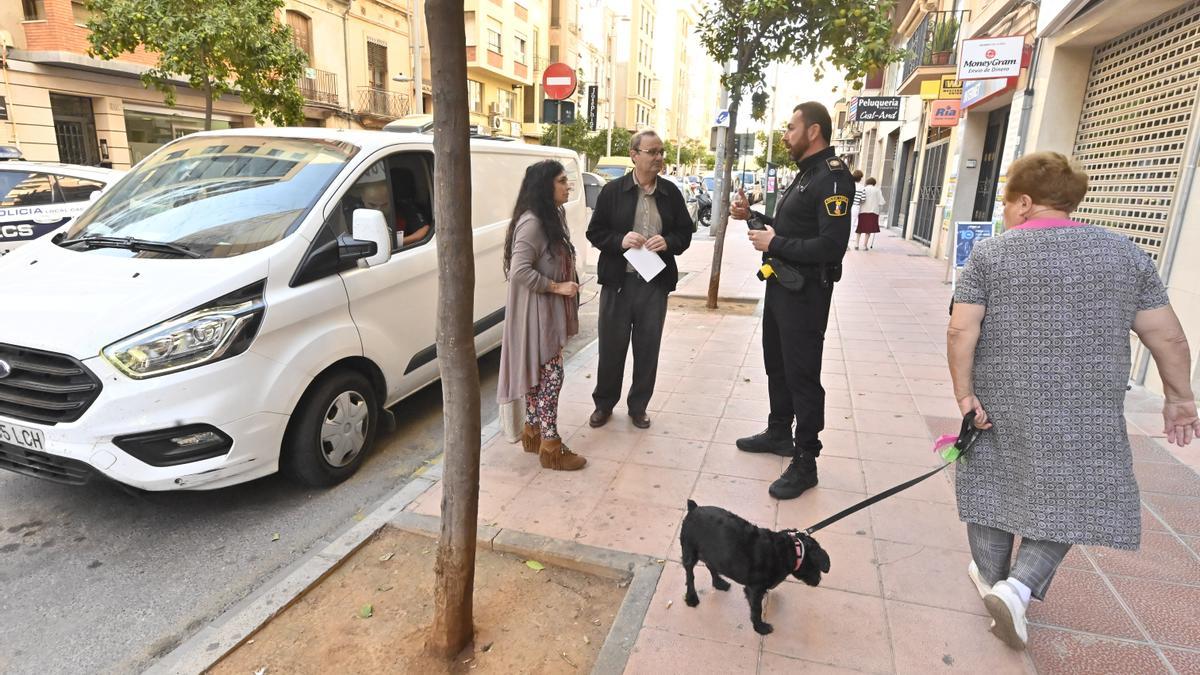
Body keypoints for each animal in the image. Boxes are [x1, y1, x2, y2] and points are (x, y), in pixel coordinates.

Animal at [681, 494, 830, 629]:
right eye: (817, 567)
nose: (818, 581)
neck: (791, 549)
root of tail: (694, 508)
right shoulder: (754, 590)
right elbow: (757, 609)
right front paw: (760, 627)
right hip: (689, 551)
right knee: (690, 575)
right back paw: (692, 597)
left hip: (713, 553)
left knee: (710, 565)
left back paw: (719, 583)